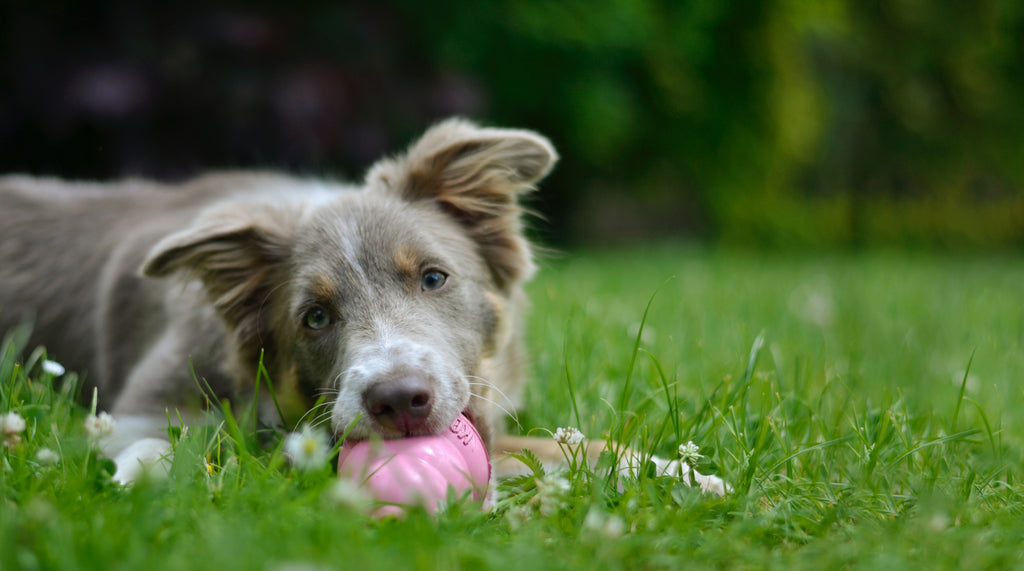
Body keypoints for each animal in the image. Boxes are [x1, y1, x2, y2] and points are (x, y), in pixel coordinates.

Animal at [0, 119, 729, 497]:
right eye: (315, 317)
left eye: (433, 277)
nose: (398, 402)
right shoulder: (140, 406)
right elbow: (174, 440)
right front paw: (140, 473)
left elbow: (568, 445)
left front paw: (680, 473)